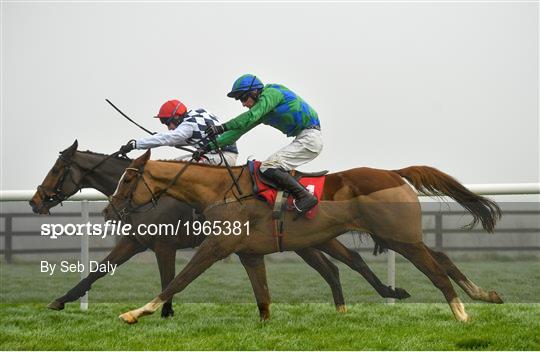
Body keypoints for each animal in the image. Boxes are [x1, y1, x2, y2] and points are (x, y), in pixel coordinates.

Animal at [29, 142, 410, 318]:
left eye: (56, 170)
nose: (35, 201)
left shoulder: (163, 246)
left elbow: (169, 278)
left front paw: (165, 312)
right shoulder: (135, 242)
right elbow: (96, 272)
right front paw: (60, 300)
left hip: (309, 240)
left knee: (346, 263)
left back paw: (381, 295)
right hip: (306, 240)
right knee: (338, 266)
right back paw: (356, 302)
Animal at [107, 150, 504, 324]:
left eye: (126, 179)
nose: (109, 209)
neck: (221, 190)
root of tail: (394, 172)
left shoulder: (217, 246)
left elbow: (178, 281)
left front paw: (136, 312)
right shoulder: (249, 253)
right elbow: (263, 298)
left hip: (399, 237)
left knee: (435, 271)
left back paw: (461, 313)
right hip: (397, 236)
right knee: (443, 258)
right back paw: (484, 294)